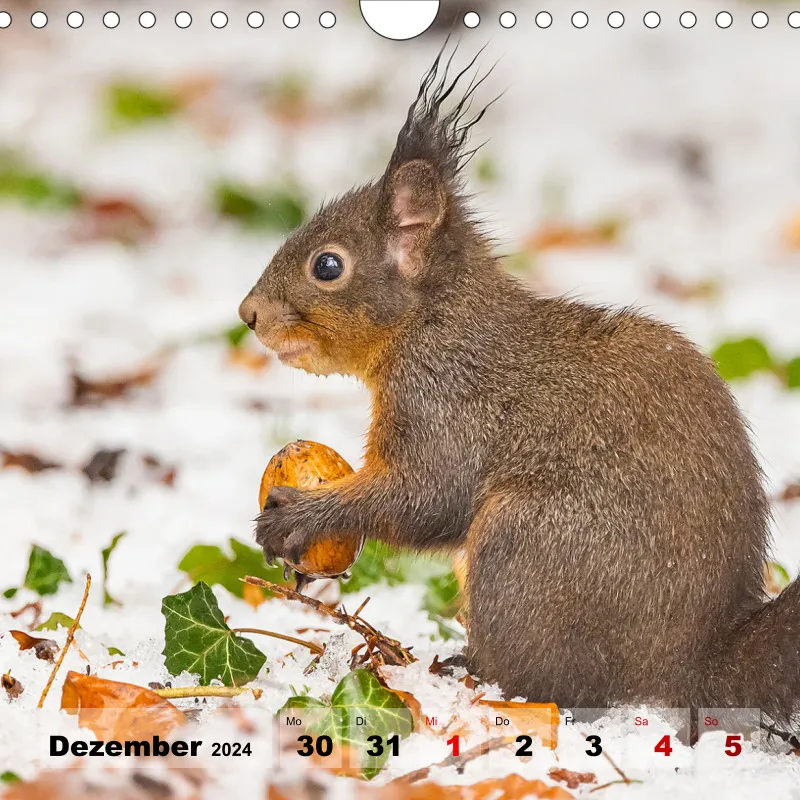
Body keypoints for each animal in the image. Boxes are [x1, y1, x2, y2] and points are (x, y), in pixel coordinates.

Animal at [239, 49, 800, 728]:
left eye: (327, 266)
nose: (249, 314)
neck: (435, 320)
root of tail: (692, 661)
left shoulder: (445, 401)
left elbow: (427, 495)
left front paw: (301, 518)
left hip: (522, 545)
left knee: (559, 682)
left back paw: (470, 673)